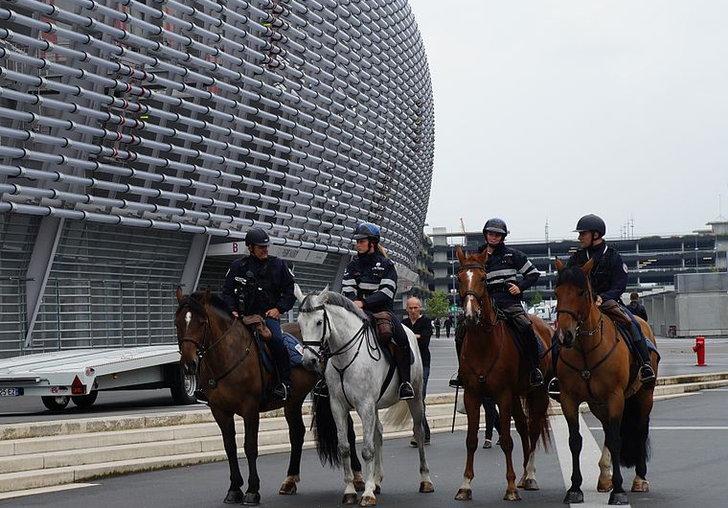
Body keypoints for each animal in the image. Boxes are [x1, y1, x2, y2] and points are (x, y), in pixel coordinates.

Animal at [171, 288, 364, 506]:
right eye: (177, 323)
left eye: (202, 323)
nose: (189, 364)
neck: (228, 355)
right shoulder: (220, 411)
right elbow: (230, 447)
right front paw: (234, 489)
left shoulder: (250, 409)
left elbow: (250, 447)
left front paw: (252, 491)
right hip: (293, 400)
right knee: (297, 433)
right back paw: (290, 480)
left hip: (336, 395)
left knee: (348, 431)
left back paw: (357, 478)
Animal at [294, 288, 436, 506]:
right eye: (300, 323)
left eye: (319, 322)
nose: (308, 361)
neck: (346, 357)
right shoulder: (338, 407)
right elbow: (344, 447)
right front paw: (350, 491)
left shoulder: (365, 405)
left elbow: (367, 450)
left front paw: (367, 493)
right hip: (375, 407)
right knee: (378, 433)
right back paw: (377, 480)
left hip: (415, 398)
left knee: (418, 432)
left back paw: (425, 480)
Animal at [452, 247, 548, 504]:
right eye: (459, 278)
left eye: (483, 278)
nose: (470, 315)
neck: (483, 341)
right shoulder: (473, 395)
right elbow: (470, 440)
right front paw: (465, 485)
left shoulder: (502, 395)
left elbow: (506, 440)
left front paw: (511, 487)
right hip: (516, 397)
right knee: (523, 427)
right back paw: (524, 475)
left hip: (538, 393)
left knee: (533, 429)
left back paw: (530, 475)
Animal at [552, 260, 660, 506]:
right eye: (557, 292)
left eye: (582, 292)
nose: (565, 336)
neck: (585, 348)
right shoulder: (569, 399)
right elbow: (575, 440)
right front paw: (575, 488)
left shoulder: (615, 396)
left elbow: (617, 440)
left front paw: (618, 491)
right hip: (598, 404)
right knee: (609, 430)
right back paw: (604, 477)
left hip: (644, 396)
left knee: (639, 430)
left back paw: (639, 479)